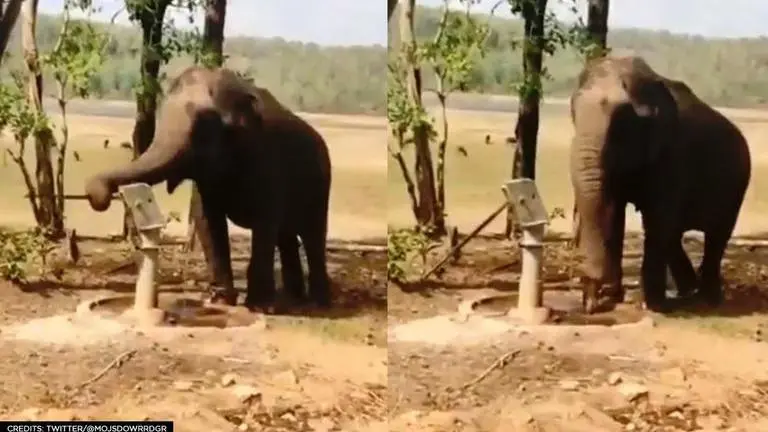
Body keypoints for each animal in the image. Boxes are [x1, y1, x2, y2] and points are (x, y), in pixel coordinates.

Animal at [84, 66, 333, 311]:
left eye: (202, 126)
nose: (97, 194)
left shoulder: (268, 163)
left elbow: (264, 222)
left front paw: (260, 306)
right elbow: (207, 219)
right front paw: (220, 300)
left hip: (321, 185)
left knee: (312, 234)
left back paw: (318, 302)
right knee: (287, 236)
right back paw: (294, 299)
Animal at [570, 56, 751, 314]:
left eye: (620, 124)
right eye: (573, 113)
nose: (589, 305)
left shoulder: (673, 155)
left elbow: (657, 218)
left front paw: (652, 305)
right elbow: (615, 212)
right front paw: (613, 297)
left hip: (737, 185)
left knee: (716, 234)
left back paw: (708, 298)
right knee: (675, 233)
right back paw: (688, 290)